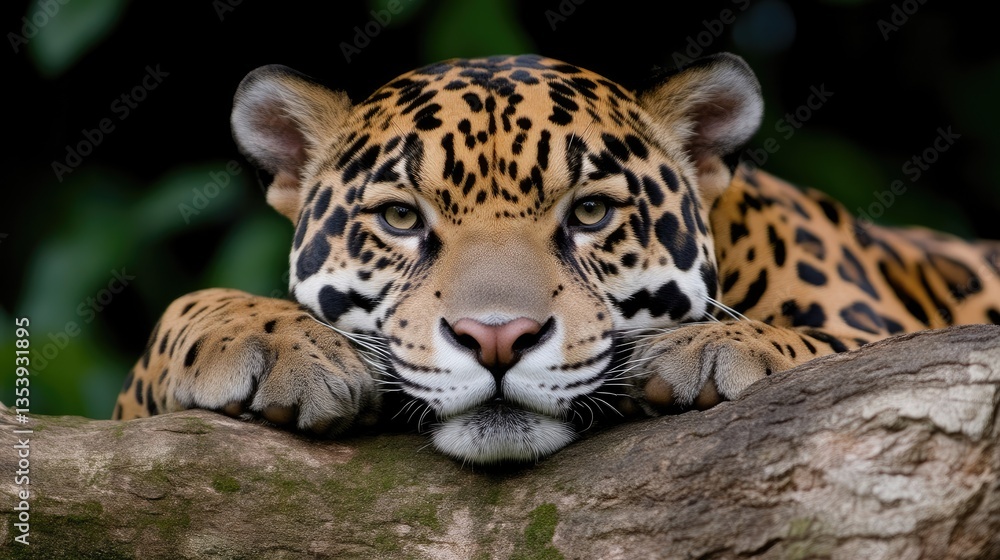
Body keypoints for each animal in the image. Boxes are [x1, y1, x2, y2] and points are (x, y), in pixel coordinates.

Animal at [113, 53, 1000, 464]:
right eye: (400, 218)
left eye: (591, 214)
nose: (497, 339)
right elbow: (178, 310)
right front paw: (261, 339)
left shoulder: (884, 323)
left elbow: (843, 347)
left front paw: (713, 346)